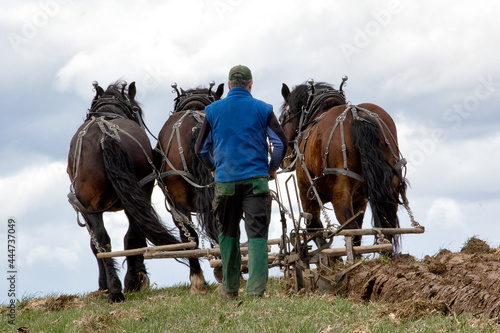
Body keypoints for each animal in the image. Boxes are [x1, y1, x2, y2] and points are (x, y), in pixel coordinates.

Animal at [67, 80, 179, 300]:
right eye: (137, 110)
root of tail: (106, 135)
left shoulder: (86, 208)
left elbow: (96, 243)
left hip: (92, 203)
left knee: (106, 240)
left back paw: (116, 288)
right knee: (124, 237)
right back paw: (125, 284)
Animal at [280, 80, 408, 252]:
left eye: (281, 118)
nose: (284, 160)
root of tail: (357, 116)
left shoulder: (306, 191)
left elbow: (314, 228)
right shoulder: (359, 199)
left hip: (339, 192)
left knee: (350, 228)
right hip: (389, 183)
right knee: (385, 223)